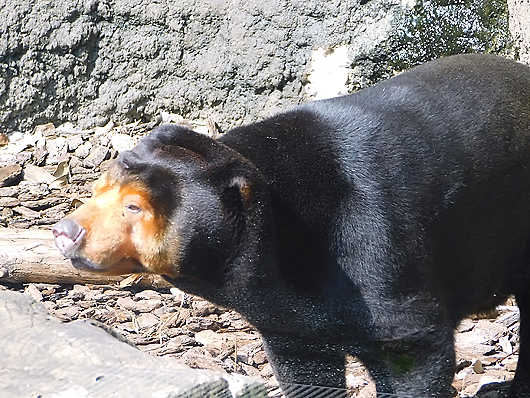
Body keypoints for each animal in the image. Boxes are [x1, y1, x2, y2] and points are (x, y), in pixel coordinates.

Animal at [53, 53, 528, 398]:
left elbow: (413, 349)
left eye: (134, 207)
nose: (65, 231)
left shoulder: (377, 246)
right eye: (97, 189)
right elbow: (305, 367)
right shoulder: (289, 321)